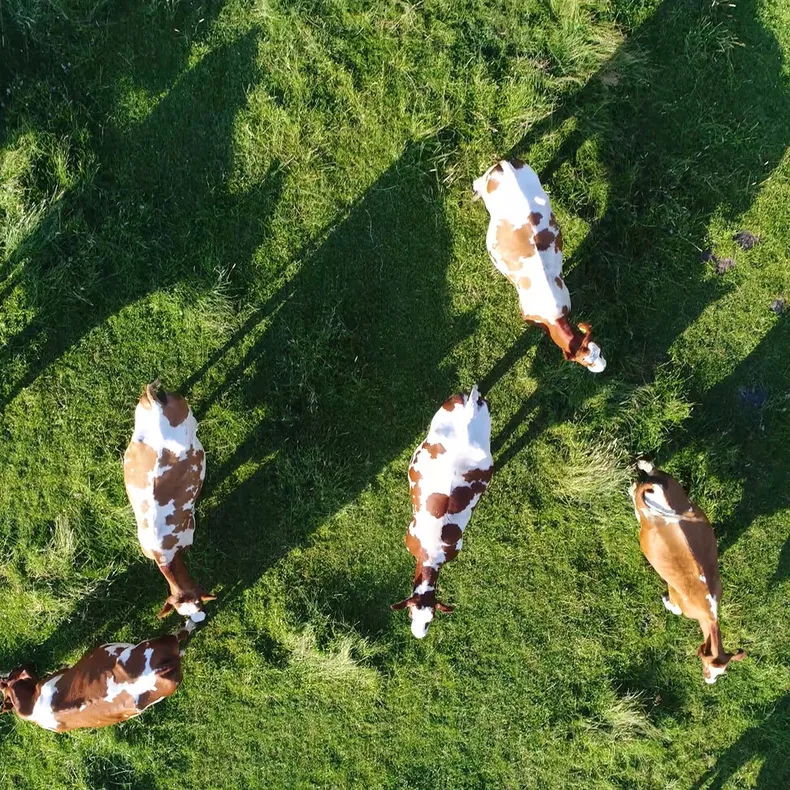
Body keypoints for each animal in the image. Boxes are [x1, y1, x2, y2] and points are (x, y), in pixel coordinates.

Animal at [472, 158, 606, 372]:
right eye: (586, 362)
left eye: (599, 351)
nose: (604, 367)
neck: (552, 317)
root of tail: (505, 164)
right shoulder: (526, 314)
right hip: (484, 182)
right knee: (476, 183)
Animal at [630, 460, 746, 684]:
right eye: (707, 666)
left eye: (722, 672)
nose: (709, 682)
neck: (708, 610)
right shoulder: (675, 593)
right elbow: (675, 608)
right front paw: (666, 603)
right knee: (634, 494)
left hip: (673, 488)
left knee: (650, 470)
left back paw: (643, 465)